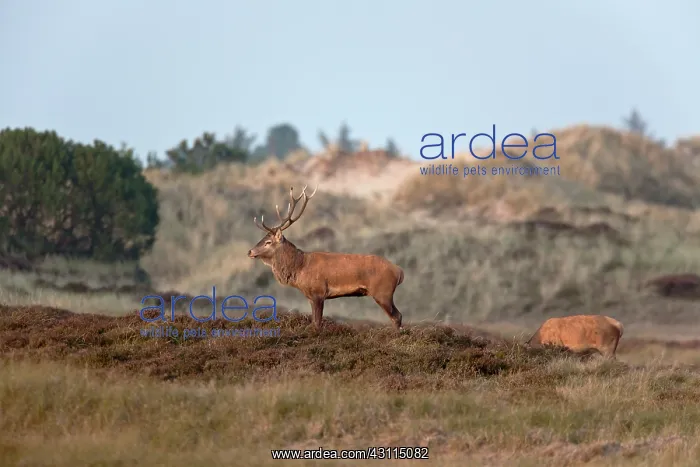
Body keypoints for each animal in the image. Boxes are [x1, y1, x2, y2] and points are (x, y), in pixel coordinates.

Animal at [247, 185, 405, 329]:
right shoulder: (310, 296)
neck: (300, 268)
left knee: (397, 316)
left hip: (383, 292)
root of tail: (399, 272)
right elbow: (313, 322)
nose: (250, 252)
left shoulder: (319, 292)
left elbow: (317, 323)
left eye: (268, 242)